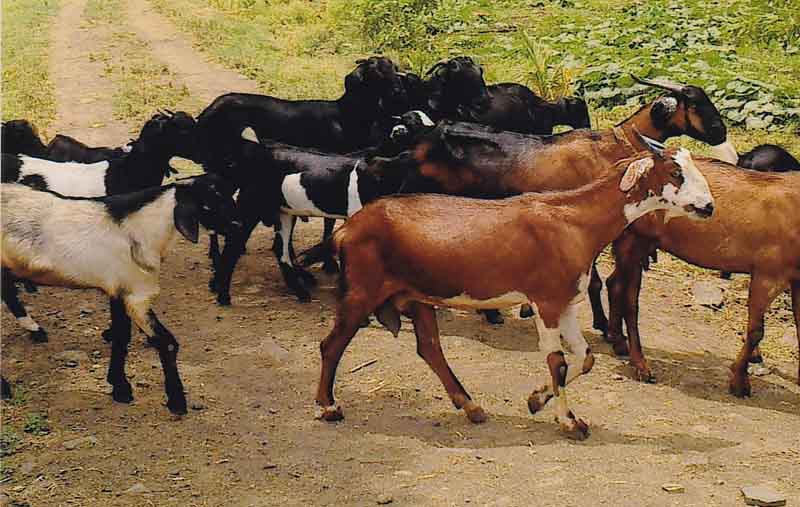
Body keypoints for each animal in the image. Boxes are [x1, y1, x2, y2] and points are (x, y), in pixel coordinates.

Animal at [0, 175, 240, 412]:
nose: (238, 226)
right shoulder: (135, 295)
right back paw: (6, 387)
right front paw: (176, 401)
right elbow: (166, 342)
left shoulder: (118, 290)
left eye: (228, 197)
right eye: (208, 204)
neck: (142, 230)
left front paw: (119, 387)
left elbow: (121, 336)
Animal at [312, 142, 714, 440]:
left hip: (417, 294)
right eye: (676, 173)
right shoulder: (546, 301)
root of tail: (348, 228)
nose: (708, 207)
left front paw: (537, 400)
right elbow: (558, 362)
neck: (574, 221)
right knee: (331, 344)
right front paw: (568, 421)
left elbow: (584, 358)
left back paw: (471, 406)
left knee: (430, 348)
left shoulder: (565, 302)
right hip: (362, 290)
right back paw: (328, 406)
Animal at [606, 157, 800, 387]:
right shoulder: (769, 274)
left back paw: (618, 342)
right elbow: (755, 331)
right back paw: (641, 364)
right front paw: (739, 380)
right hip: (635, 240)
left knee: (614, 284)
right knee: (630, 302)